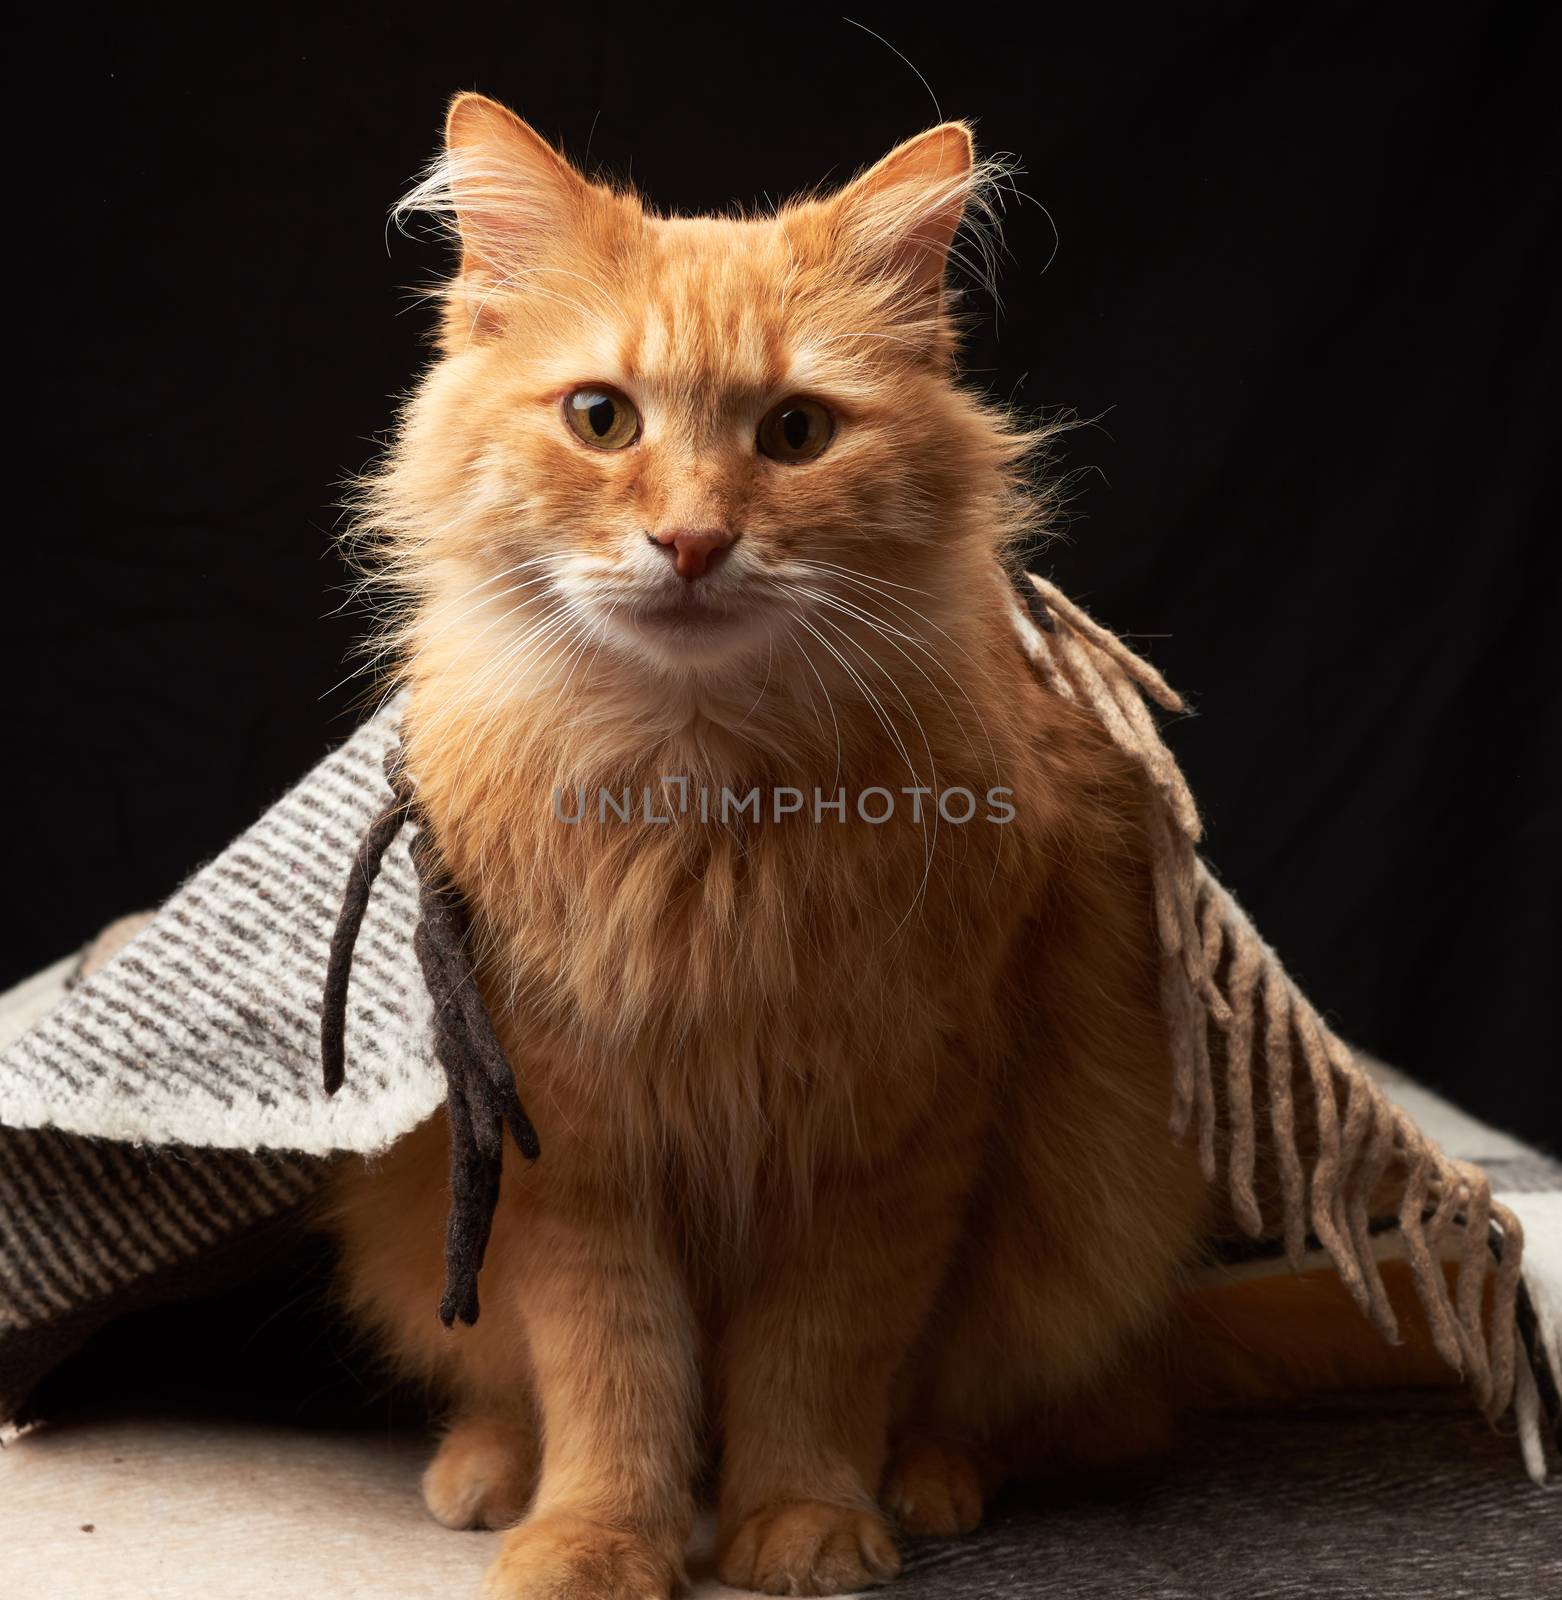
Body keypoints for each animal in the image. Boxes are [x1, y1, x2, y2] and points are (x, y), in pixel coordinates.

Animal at [329, 93, 1453, 1593]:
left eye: (796, 432)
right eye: (600, 419)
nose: (691, 541)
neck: (700, 810)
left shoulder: (887, 1134)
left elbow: (816, 1365)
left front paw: (802, 1523)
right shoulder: (575, 1145)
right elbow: (612, 1373)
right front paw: (594, 1540)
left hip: (1088, 1223)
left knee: (1073, 1413)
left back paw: (930, 1481)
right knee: (515, 1382)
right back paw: (492, 1470)